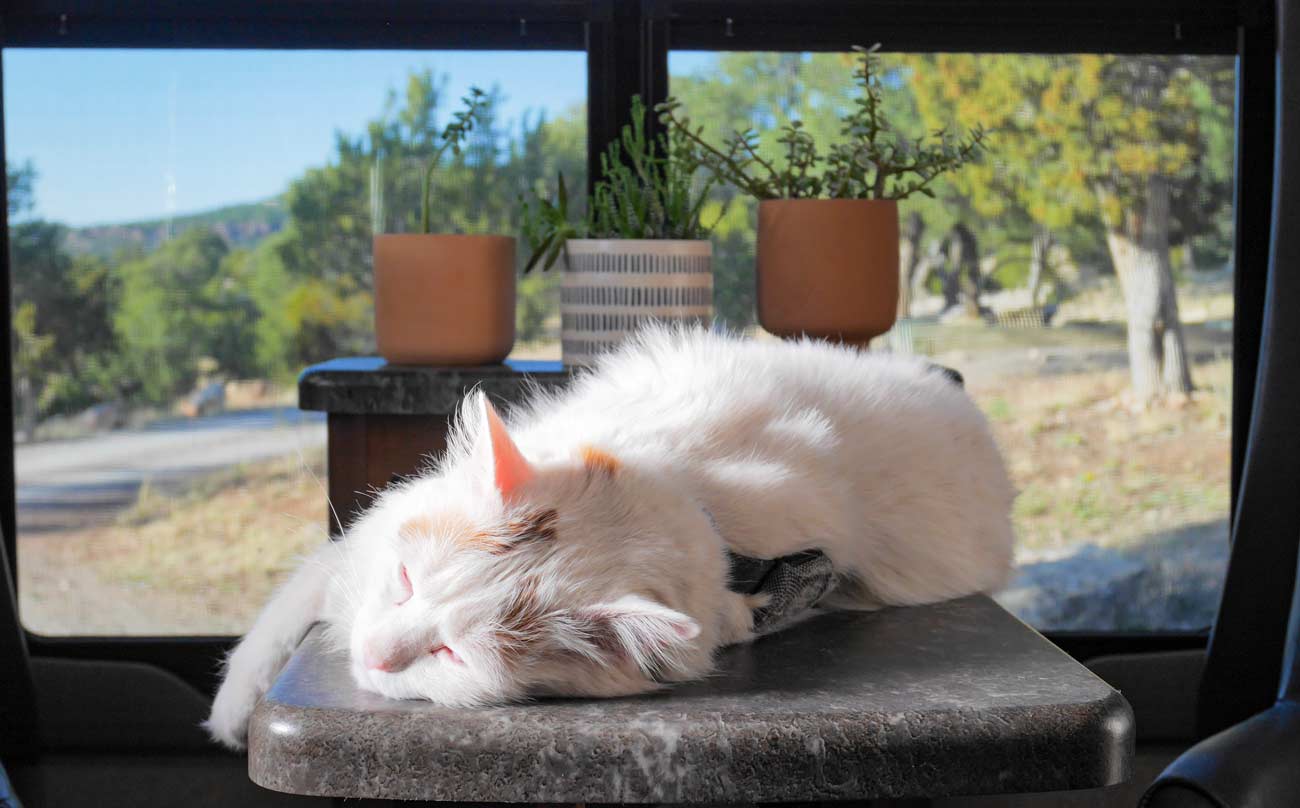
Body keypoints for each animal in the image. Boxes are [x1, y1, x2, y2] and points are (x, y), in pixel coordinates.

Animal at [202, 329, 1013, 753]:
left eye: (453, 655)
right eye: (404, 583)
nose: (372, 654)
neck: (698, 491)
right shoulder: (359, 549)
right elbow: (288, 606)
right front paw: (233, 710)